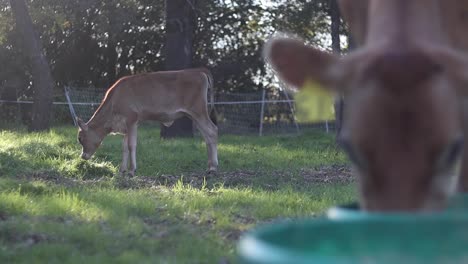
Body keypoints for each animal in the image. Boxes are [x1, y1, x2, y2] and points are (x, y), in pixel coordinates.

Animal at [77, 67, 219, 176]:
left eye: (80, 138)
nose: (82, 157)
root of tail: (197, 71)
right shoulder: (127, 125)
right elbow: (124, 147)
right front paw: (122, 170)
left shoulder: (132, 120)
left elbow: (131, 145)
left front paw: (132, 170)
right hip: (195, 116)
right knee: (207, 135)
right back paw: (210, 166)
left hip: (199, 112)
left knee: (212, 131)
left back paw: (213, 168)